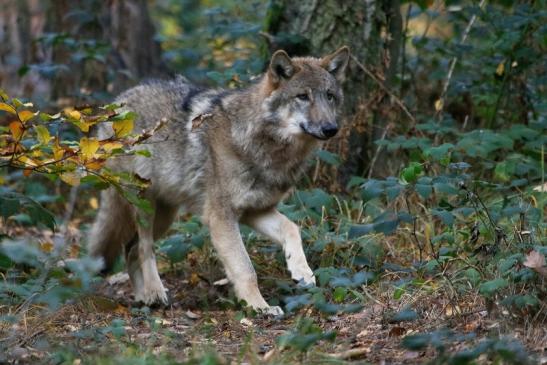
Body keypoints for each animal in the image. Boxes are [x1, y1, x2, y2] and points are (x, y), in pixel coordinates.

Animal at [88, 45, 348, 314]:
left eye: (329, 96)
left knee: (131, 249)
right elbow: (245, 269)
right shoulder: (221, 216)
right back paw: (155, 292)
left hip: (165, 216)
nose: (331, 128)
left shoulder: (256, 211)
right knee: (144, 248)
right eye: (302, 96)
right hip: (145, 204)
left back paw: (144, 298)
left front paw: (302, 272)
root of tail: (116, 102)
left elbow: (292, 228)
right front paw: (260, 307)